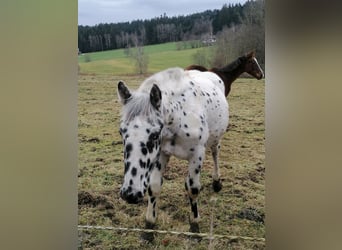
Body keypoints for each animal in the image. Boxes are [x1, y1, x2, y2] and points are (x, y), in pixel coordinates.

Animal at [117, 67, 230, 240]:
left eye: (155, 134)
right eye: (121, 132)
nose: (130, 194)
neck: (179, 117)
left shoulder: (197, 155)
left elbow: (193, 189)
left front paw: (195, 225)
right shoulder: (161, 154)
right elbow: (154, 187)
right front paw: (149, 226)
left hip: (215, 139)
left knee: (215, 153)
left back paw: (217, 182)